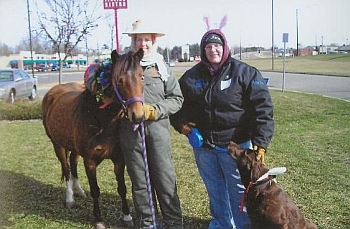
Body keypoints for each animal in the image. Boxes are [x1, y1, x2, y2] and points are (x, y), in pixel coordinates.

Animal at [42, 49, 144, 228]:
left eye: (141, 76)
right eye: (120, 80)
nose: (137, 115)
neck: (101, 118)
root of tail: (52, 93)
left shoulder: (119, 159)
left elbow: (122, 187)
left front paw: (126, 216)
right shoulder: (89, 160)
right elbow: (95, 190)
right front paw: (98, 219)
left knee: (73, 164)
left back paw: (78, 190)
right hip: (57, 145)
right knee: (66, 169)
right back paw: (70, 198)